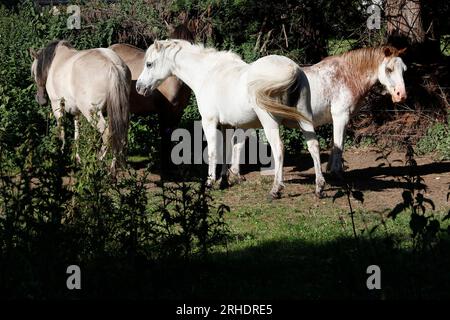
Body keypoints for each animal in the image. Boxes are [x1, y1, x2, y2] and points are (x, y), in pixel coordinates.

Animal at [30, 40, 130, 172]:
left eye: (34, 73)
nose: (40, 100)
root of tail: (112, 64)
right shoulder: (76, 112)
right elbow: (77, 134)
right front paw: (76, 158)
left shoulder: (57, 105)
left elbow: (61, 131)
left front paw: (61, 154)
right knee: (120, 135)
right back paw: (113, 166)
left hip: (92, 113)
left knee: (108, 134)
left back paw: (99, 161)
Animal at [135, 39, 326, 199]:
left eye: (149, 64)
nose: (139, 87)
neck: (207, 74)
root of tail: (292, 69)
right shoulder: (226, 125)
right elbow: (226, 151)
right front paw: (224, 180)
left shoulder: (209, 122)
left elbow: (213, 151)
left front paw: (210, 181)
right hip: (305, 118)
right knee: (313, 146)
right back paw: (319, 187)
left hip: (270, 122)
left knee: (279, 148)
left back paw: (275, 189)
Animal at [232, 46, 408, 178]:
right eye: (389, 69)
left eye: (404, 70)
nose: (401, 95)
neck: (345, 76)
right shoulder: (340, 117)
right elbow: (339, 144)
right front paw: (337, 172)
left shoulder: (341, 119)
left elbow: (336, 144)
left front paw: (332, 169)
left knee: (237, 143)